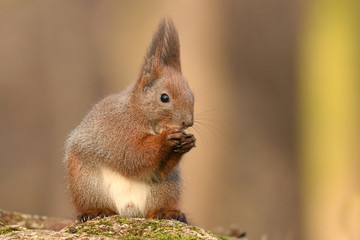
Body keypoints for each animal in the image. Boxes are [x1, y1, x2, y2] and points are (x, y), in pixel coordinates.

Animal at [63, 18, 195, 223]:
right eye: (164, 98)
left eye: (192, 95)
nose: (188, 122)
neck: (139, 112)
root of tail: (129, 211)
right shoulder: (118, 129)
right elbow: (132, 155)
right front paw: (165, 140)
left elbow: (158, 169)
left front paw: (187, 142)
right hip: (86, 182)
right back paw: (96, 210)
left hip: (165, 188)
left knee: (156, 206)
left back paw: (166, 212)